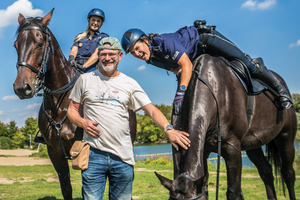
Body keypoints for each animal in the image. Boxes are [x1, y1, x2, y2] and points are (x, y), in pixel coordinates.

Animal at [12, 9, 137, 198]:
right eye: (16, 45)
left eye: (40, 44)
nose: (21, 88)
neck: (60, 103)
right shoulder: (55, 153)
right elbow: (66, 188)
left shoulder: (85, 150)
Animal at [156, 54, 296, 199]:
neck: (214, 90)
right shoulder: (204, 151)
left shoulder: (232, 148)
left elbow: (234, 192)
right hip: (253, 145)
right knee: (266, 171)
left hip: (286, 136)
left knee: (288, 174)